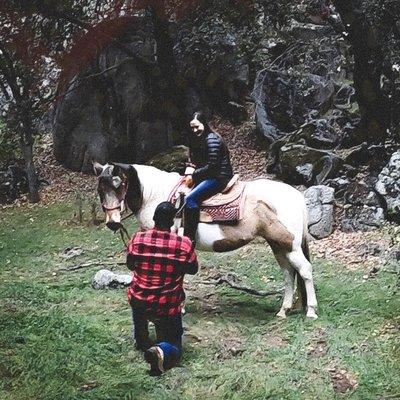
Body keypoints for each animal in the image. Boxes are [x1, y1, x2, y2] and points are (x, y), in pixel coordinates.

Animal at [94, 160, 318, 318]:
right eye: (100, 189)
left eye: (119, 184)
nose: (112, 222)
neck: (157, 197)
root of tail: (296, 195)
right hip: (278, 245)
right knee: (289, 273)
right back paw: (284, 310)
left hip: (290, 245)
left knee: (305, 270)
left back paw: (311, 311)